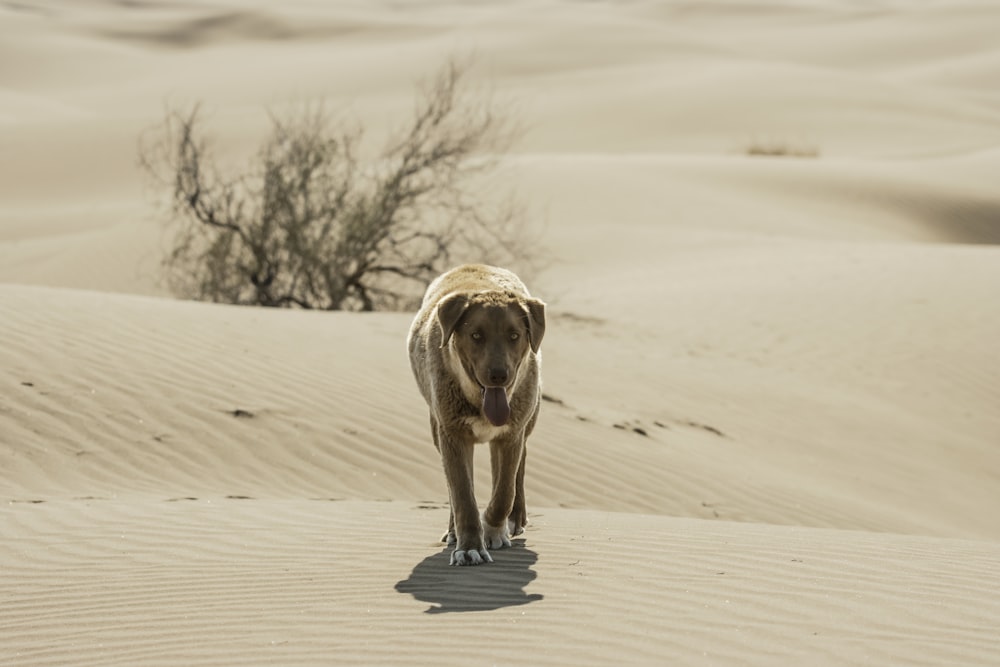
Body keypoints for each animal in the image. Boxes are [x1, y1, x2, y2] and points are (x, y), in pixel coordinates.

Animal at [406, 264, 548, 568]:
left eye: (514, 335)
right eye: (476, 335)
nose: (498, 375)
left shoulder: (510, 435)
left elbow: (504, 492)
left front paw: (493, 529)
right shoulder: (452, 435)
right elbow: (462, 496)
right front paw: (470, 547)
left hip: (527, 418)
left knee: (519, 468)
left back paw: (514, 520)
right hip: (438, 429)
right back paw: (453, 532)